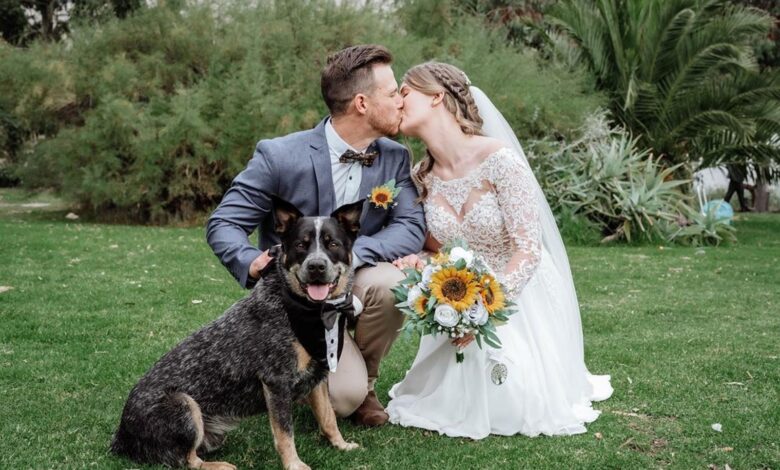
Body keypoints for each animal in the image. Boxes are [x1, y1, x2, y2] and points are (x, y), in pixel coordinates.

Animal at [110, 197, 366, 470]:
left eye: (332, 244)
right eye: (300, 245)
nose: (316, 266)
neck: (306, 311)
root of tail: (121, 435)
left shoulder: (317, 375)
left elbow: (328, 417)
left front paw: (341, 444)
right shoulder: (276, 381)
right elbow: (285, 433)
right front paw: (294, 465)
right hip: (184, 405)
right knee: (187, 460)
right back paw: (218, 465)